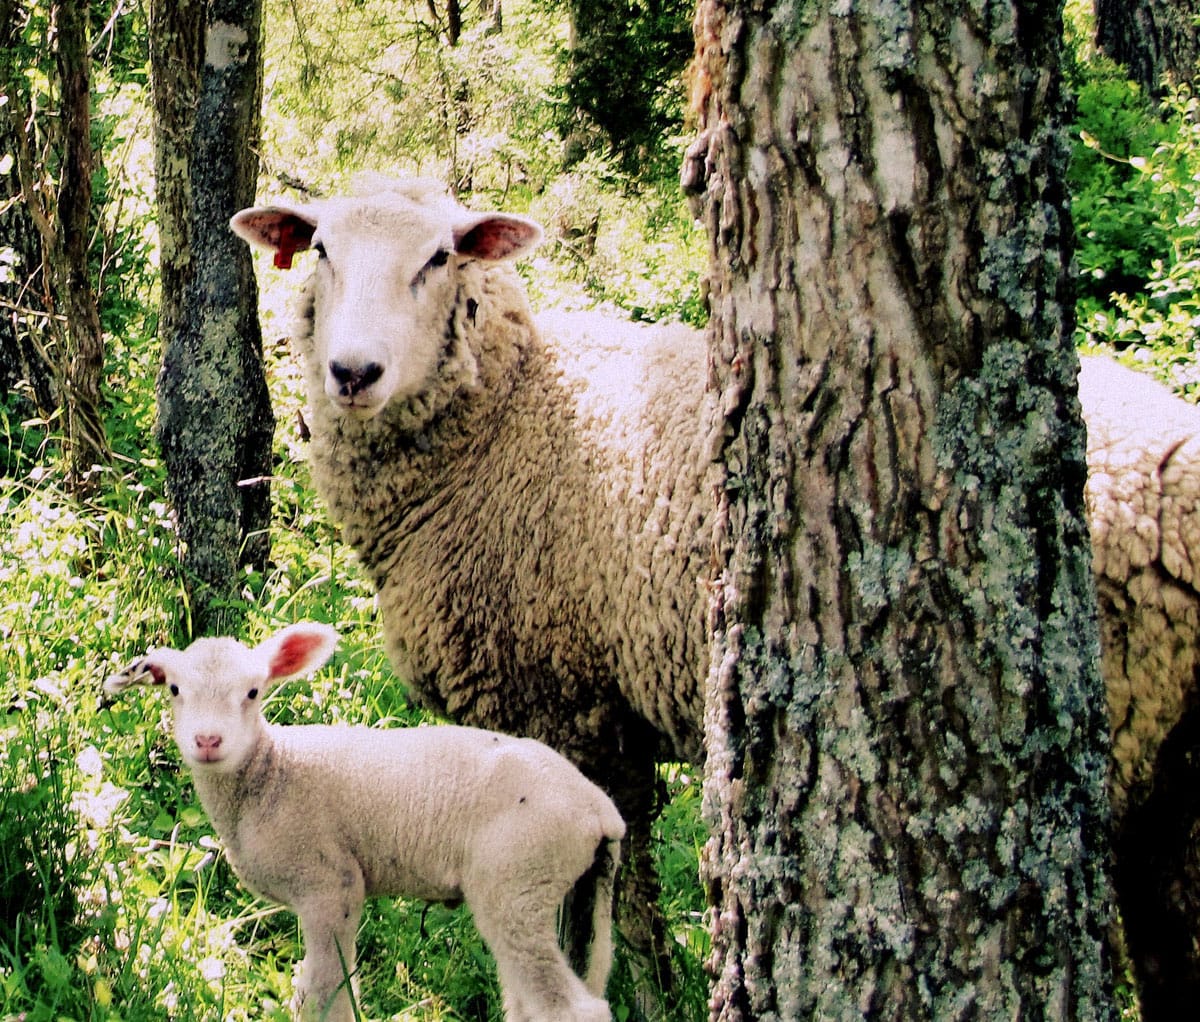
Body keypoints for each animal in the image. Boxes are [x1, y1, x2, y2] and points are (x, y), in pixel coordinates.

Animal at [104, 621, 625, 1022]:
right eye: (174, 689)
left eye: (253, 692)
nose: (208, 741)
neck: (271, 774)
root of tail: (602, 812)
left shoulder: (330, 885)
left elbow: (321, 997)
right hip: (565, 887)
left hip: (516, 881)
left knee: (571, 1008)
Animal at [231, 178, 723, 990]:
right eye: (322, 248)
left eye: (439, 257)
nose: (353, 373)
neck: (504, 416)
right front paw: (656, 980)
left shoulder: (566, 702)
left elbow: (612, 887)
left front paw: (637, 982)